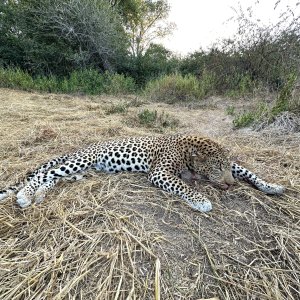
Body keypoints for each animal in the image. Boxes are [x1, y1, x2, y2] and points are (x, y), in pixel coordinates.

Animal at [0, 135, 284, 212]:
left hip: (83, 172)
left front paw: (272, 186)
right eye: (216, 168)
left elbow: (248, 171)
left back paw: (37, 196)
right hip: (81, 161)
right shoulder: (160, 172)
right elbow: (184, 186)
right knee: (44, 174)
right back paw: (25, 196)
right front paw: (202, 201)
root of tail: (80, 148)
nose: (231, 185)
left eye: (224, 167)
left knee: (51, 178)